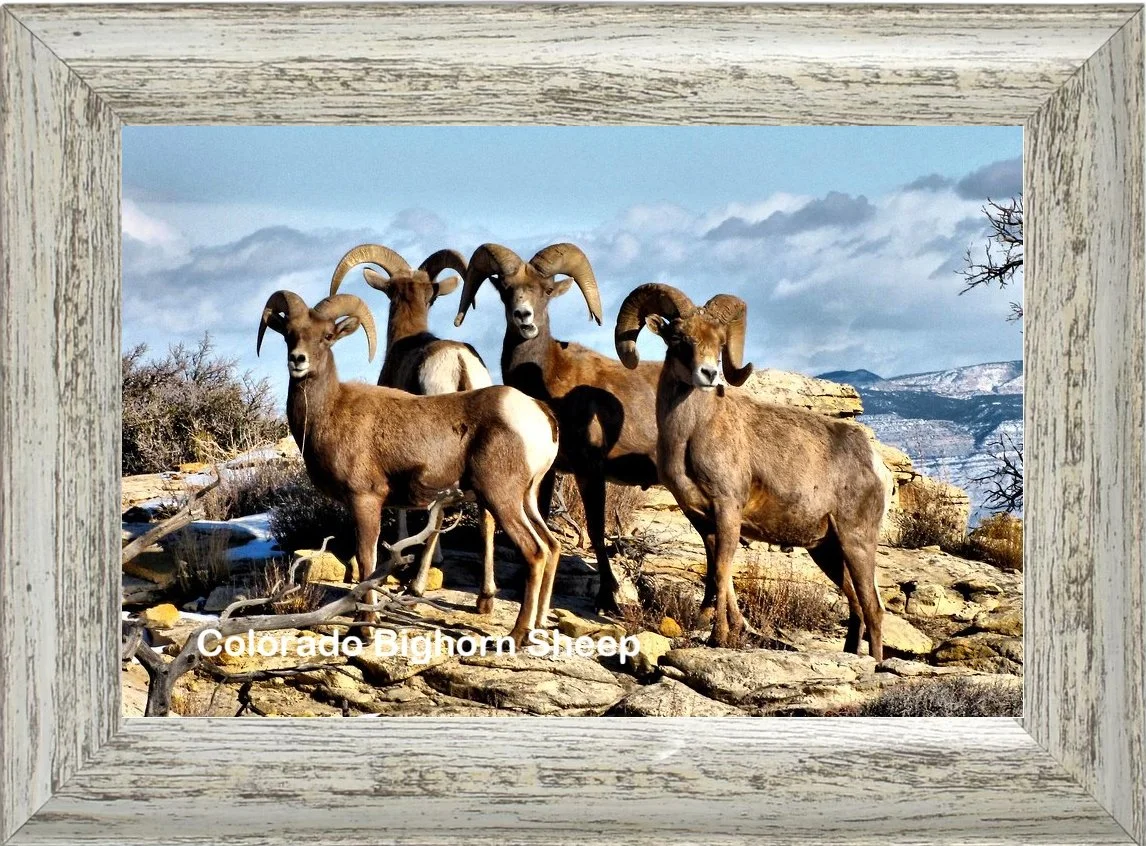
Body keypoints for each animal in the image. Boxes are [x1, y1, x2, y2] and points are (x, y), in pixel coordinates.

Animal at [257, 290, 563, 645]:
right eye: (289, 334)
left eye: (327, 336)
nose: (298, 360)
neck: (330, 412)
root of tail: (539, 413)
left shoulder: (365, 501)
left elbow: (367, 561)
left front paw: (365, 629)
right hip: (526, 499)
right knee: (551, 546)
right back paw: (537, 626)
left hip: (502, 498)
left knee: (535, 552)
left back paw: (517, 634)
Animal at [453, 242, 661, 614]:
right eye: (506, 290)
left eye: (547, 290)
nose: (523, 317)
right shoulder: (549, 474)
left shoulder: (590, 471)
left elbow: (596, 531)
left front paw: (607, 599)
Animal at [614, 283, 892, 658]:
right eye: (679, 338)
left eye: (719, 342)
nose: (708, 374)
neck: (691, 433)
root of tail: (877, 466)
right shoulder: (704, 521)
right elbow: (719, 575)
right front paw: (731, 631)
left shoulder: (727, 510)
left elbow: (720, 572)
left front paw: (718, 637)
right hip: (827, 550)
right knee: (856, 605)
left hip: (857, 541)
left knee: (873, 608)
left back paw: (875, 663)